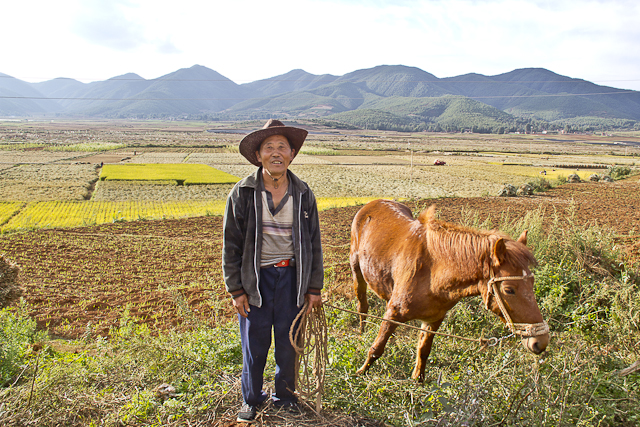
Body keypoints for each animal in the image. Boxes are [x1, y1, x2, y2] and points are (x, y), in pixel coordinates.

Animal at [350, 201, 552, 382]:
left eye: (532, 282)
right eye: (509, 290)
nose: (540, 342)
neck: (432, 272)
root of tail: (370, 205)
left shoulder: (434, 319)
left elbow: (423, 351)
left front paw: (418, 381)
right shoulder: (394, 312)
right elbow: (376, 349)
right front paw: (360, 373)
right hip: (357, 271)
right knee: (362, 306)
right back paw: (361, 332)